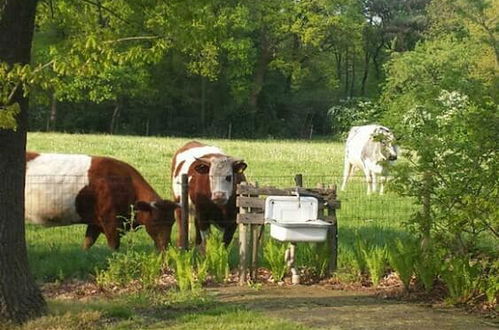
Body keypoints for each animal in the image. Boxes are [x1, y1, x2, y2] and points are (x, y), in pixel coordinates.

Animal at [25, 152, 179, 250]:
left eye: (172, 222)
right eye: (155, 221)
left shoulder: (95, 223)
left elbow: (87, 244)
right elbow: (113, 246)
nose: (165, 247)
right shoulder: (110, 221)